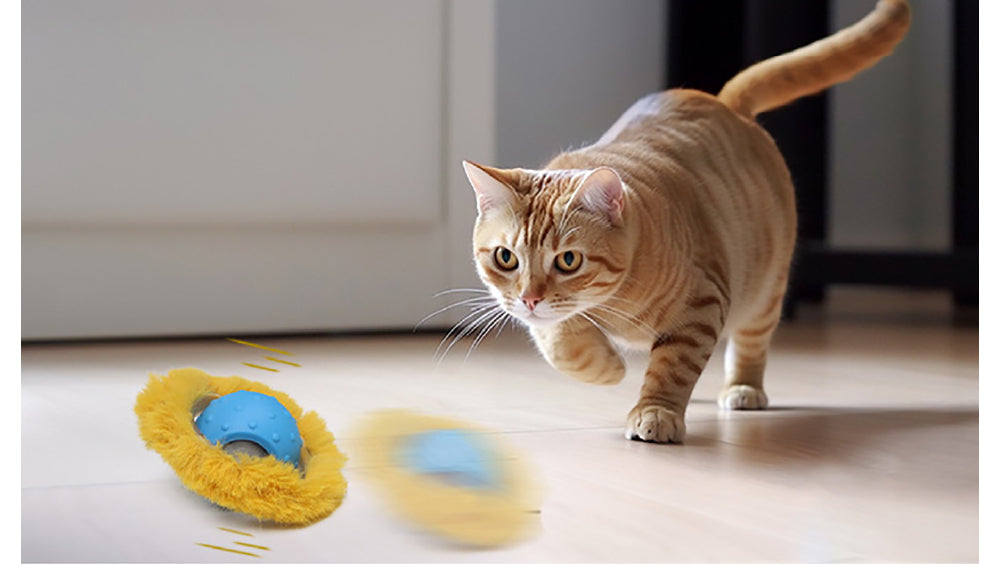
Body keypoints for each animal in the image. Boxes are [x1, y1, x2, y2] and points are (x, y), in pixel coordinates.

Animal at [462, 0, 916, 442]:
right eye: (505, 257)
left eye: (568, 261)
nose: (530, 298)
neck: (610, 306)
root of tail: (724, 102)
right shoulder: (542, 321)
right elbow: (562, 343)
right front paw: (609, 366)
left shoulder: (702, 303)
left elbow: (672, 368)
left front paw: (654, 410)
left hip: (764, 291)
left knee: (750, 344)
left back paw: (743, 389)